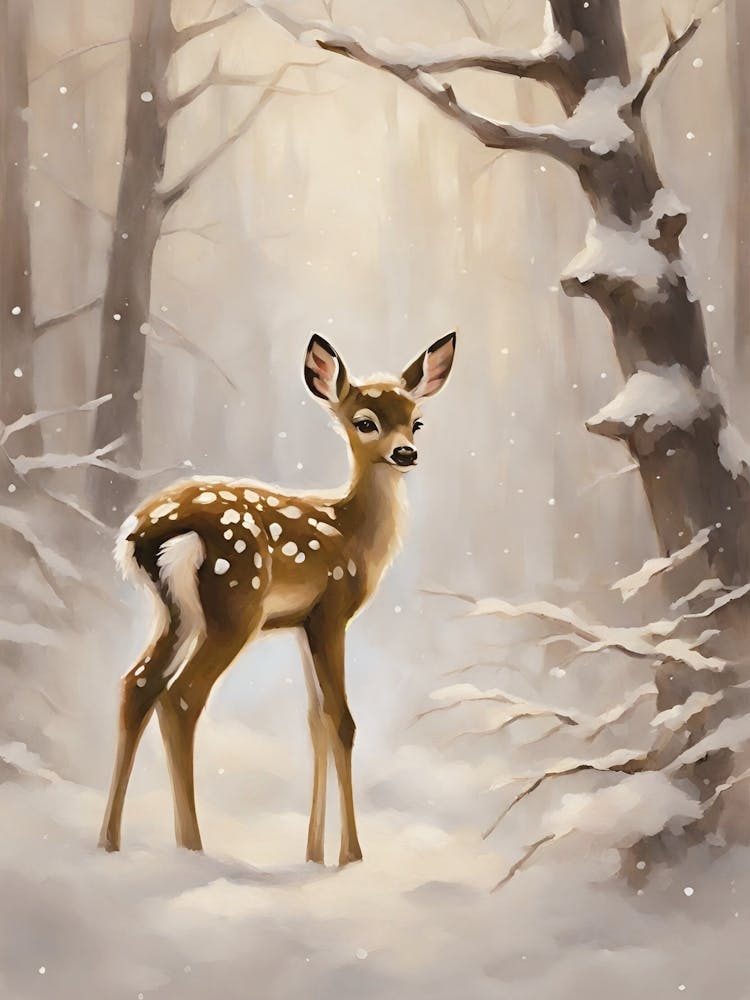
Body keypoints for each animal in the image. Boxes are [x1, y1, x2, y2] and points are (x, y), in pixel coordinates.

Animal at [99, 331, 456, 866]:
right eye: (365, 422)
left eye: (416, 421)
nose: (406, 453)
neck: (351, 533)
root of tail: (142, 533)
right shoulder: (331, 613)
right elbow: (343, 721)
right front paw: (351, 856)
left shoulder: (299, 623)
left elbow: (315, 721)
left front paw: (313, 853)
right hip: (233, 605)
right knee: (181, 697)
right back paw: (192, 847)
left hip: (174, 613)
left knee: (137, 684)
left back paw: (109, 841)